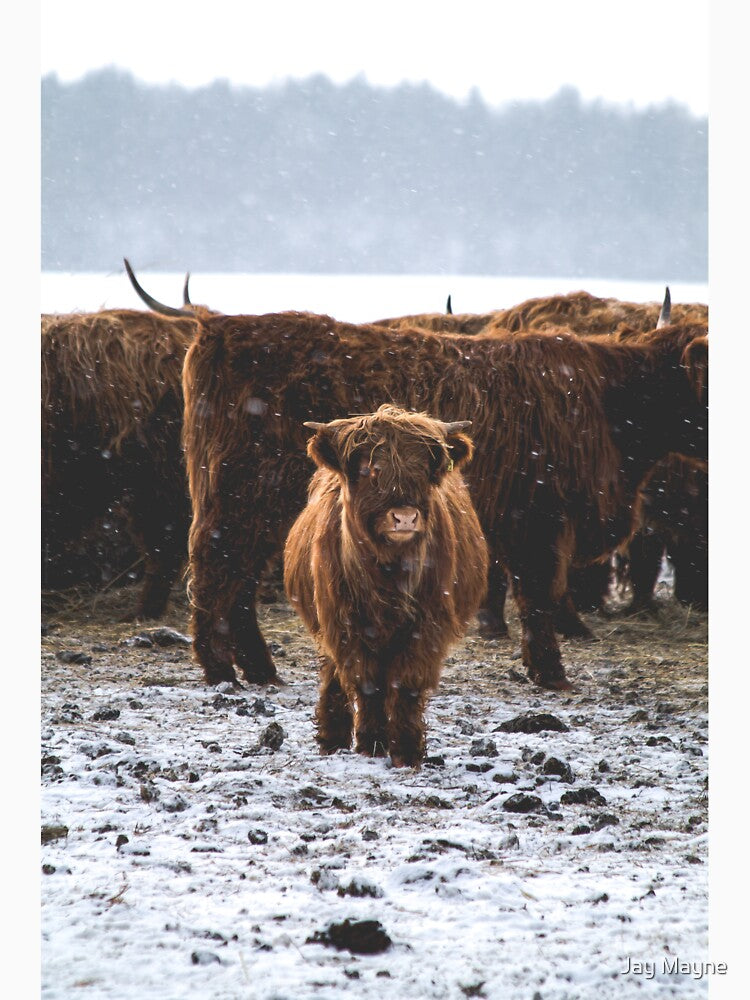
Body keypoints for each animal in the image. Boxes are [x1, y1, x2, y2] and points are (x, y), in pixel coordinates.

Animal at [181, 310, 707, 691]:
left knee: (241, 584)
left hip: (259, 513)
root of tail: (219, 328)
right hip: (240, 502)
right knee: (215, 573)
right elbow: (540, 596)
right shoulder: (540, 521)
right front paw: (552, 674)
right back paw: (220, 673)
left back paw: (259, 671)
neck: (608, 404)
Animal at [283, 405, 488, 766]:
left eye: (423, 469)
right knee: (333, 673)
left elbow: (406, 684)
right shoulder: (345, 625)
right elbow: (367, 684)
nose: (404, 517)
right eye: (369, 470)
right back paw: (332, 739)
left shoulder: (427, 627)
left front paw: (407, 750)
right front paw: (372, 744)